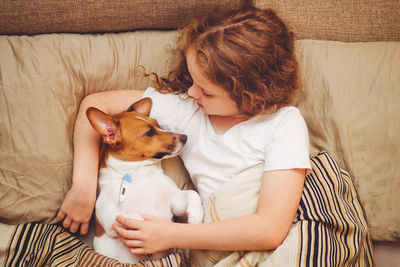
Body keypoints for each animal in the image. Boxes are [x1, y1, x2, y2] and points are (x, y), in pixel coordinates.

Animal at [86, 97, 203, 264]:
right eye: (149, 132)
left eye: (157, 124)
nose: (185, 137)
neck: (138, 174)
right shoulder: (104, 211)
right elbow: (122, 215)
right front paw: (137, 222)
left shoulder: (175, 201)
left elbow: (192, 194)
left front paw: (196, 214)